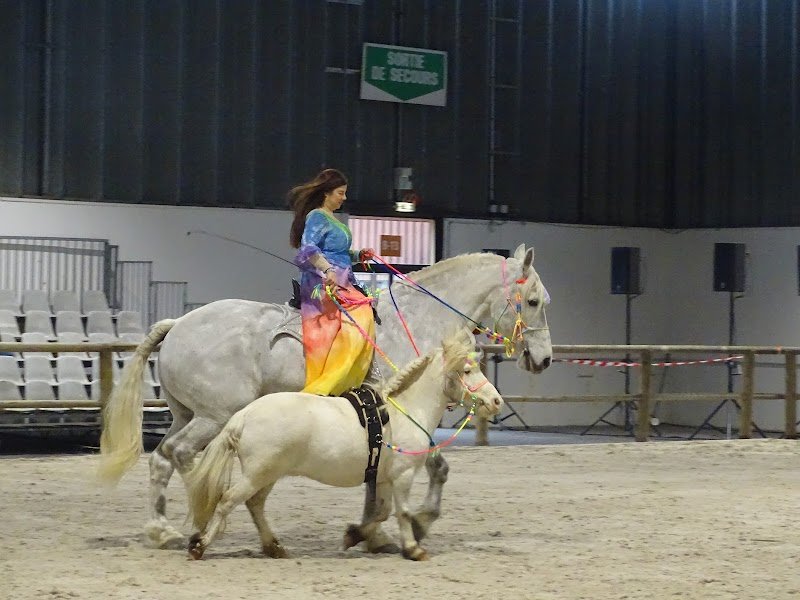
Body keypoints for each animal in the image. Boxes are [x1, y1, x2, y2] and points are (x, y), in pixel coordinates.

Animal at [184, 329, 504, 561]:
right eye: (467, 370)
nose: (496, 401)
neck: (405, 411)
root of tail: (243, 415)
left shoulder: (384, 478)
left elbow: (381, 513)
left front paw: (354, 535)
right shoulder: (403, 475)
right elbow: (402, 513)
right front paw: (413, 549)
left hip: (268, 474)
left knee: (254, 504)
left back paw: (274, 547)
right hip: (258, 473)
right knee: (228, 501)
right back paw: (200, 546)